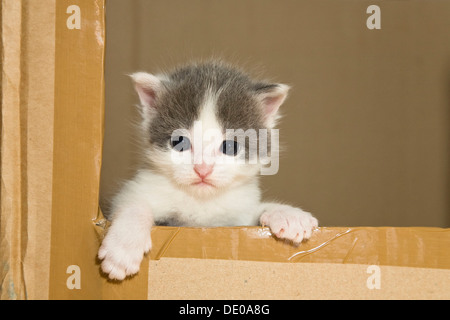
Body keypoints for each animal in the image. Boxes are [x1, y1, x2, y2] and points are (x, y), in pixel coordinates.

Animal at [98, 60, 318, 280]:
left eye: (230, 147)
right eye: (179, 142)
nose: (202, 168)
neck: (200, 202)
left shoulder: (235, 222)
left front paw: (287, 215)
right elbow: (133, 203)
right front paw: (123, 248)